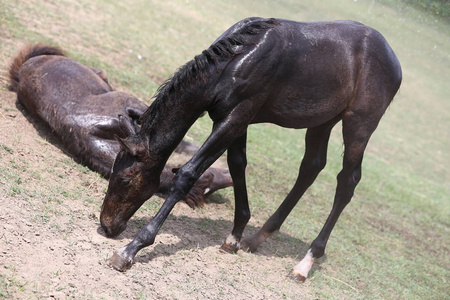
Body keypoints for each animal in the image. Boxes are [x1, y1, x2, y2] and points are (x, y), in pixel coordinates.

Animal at [101, 18, 400, 282]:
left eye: (125, 179)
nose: (106, 225)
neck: (235, 61)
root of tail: (394, 60)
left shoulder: (235, 118)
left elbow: (187, 174)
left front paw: (131, 250)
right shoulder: (235, 120)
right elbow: (237, 164)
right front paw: (234, 237)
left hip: (359, 125)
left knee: (347, 182)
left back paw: (305, 263)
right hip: (323, 120)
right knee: (311, 167)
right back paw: (258, 238)